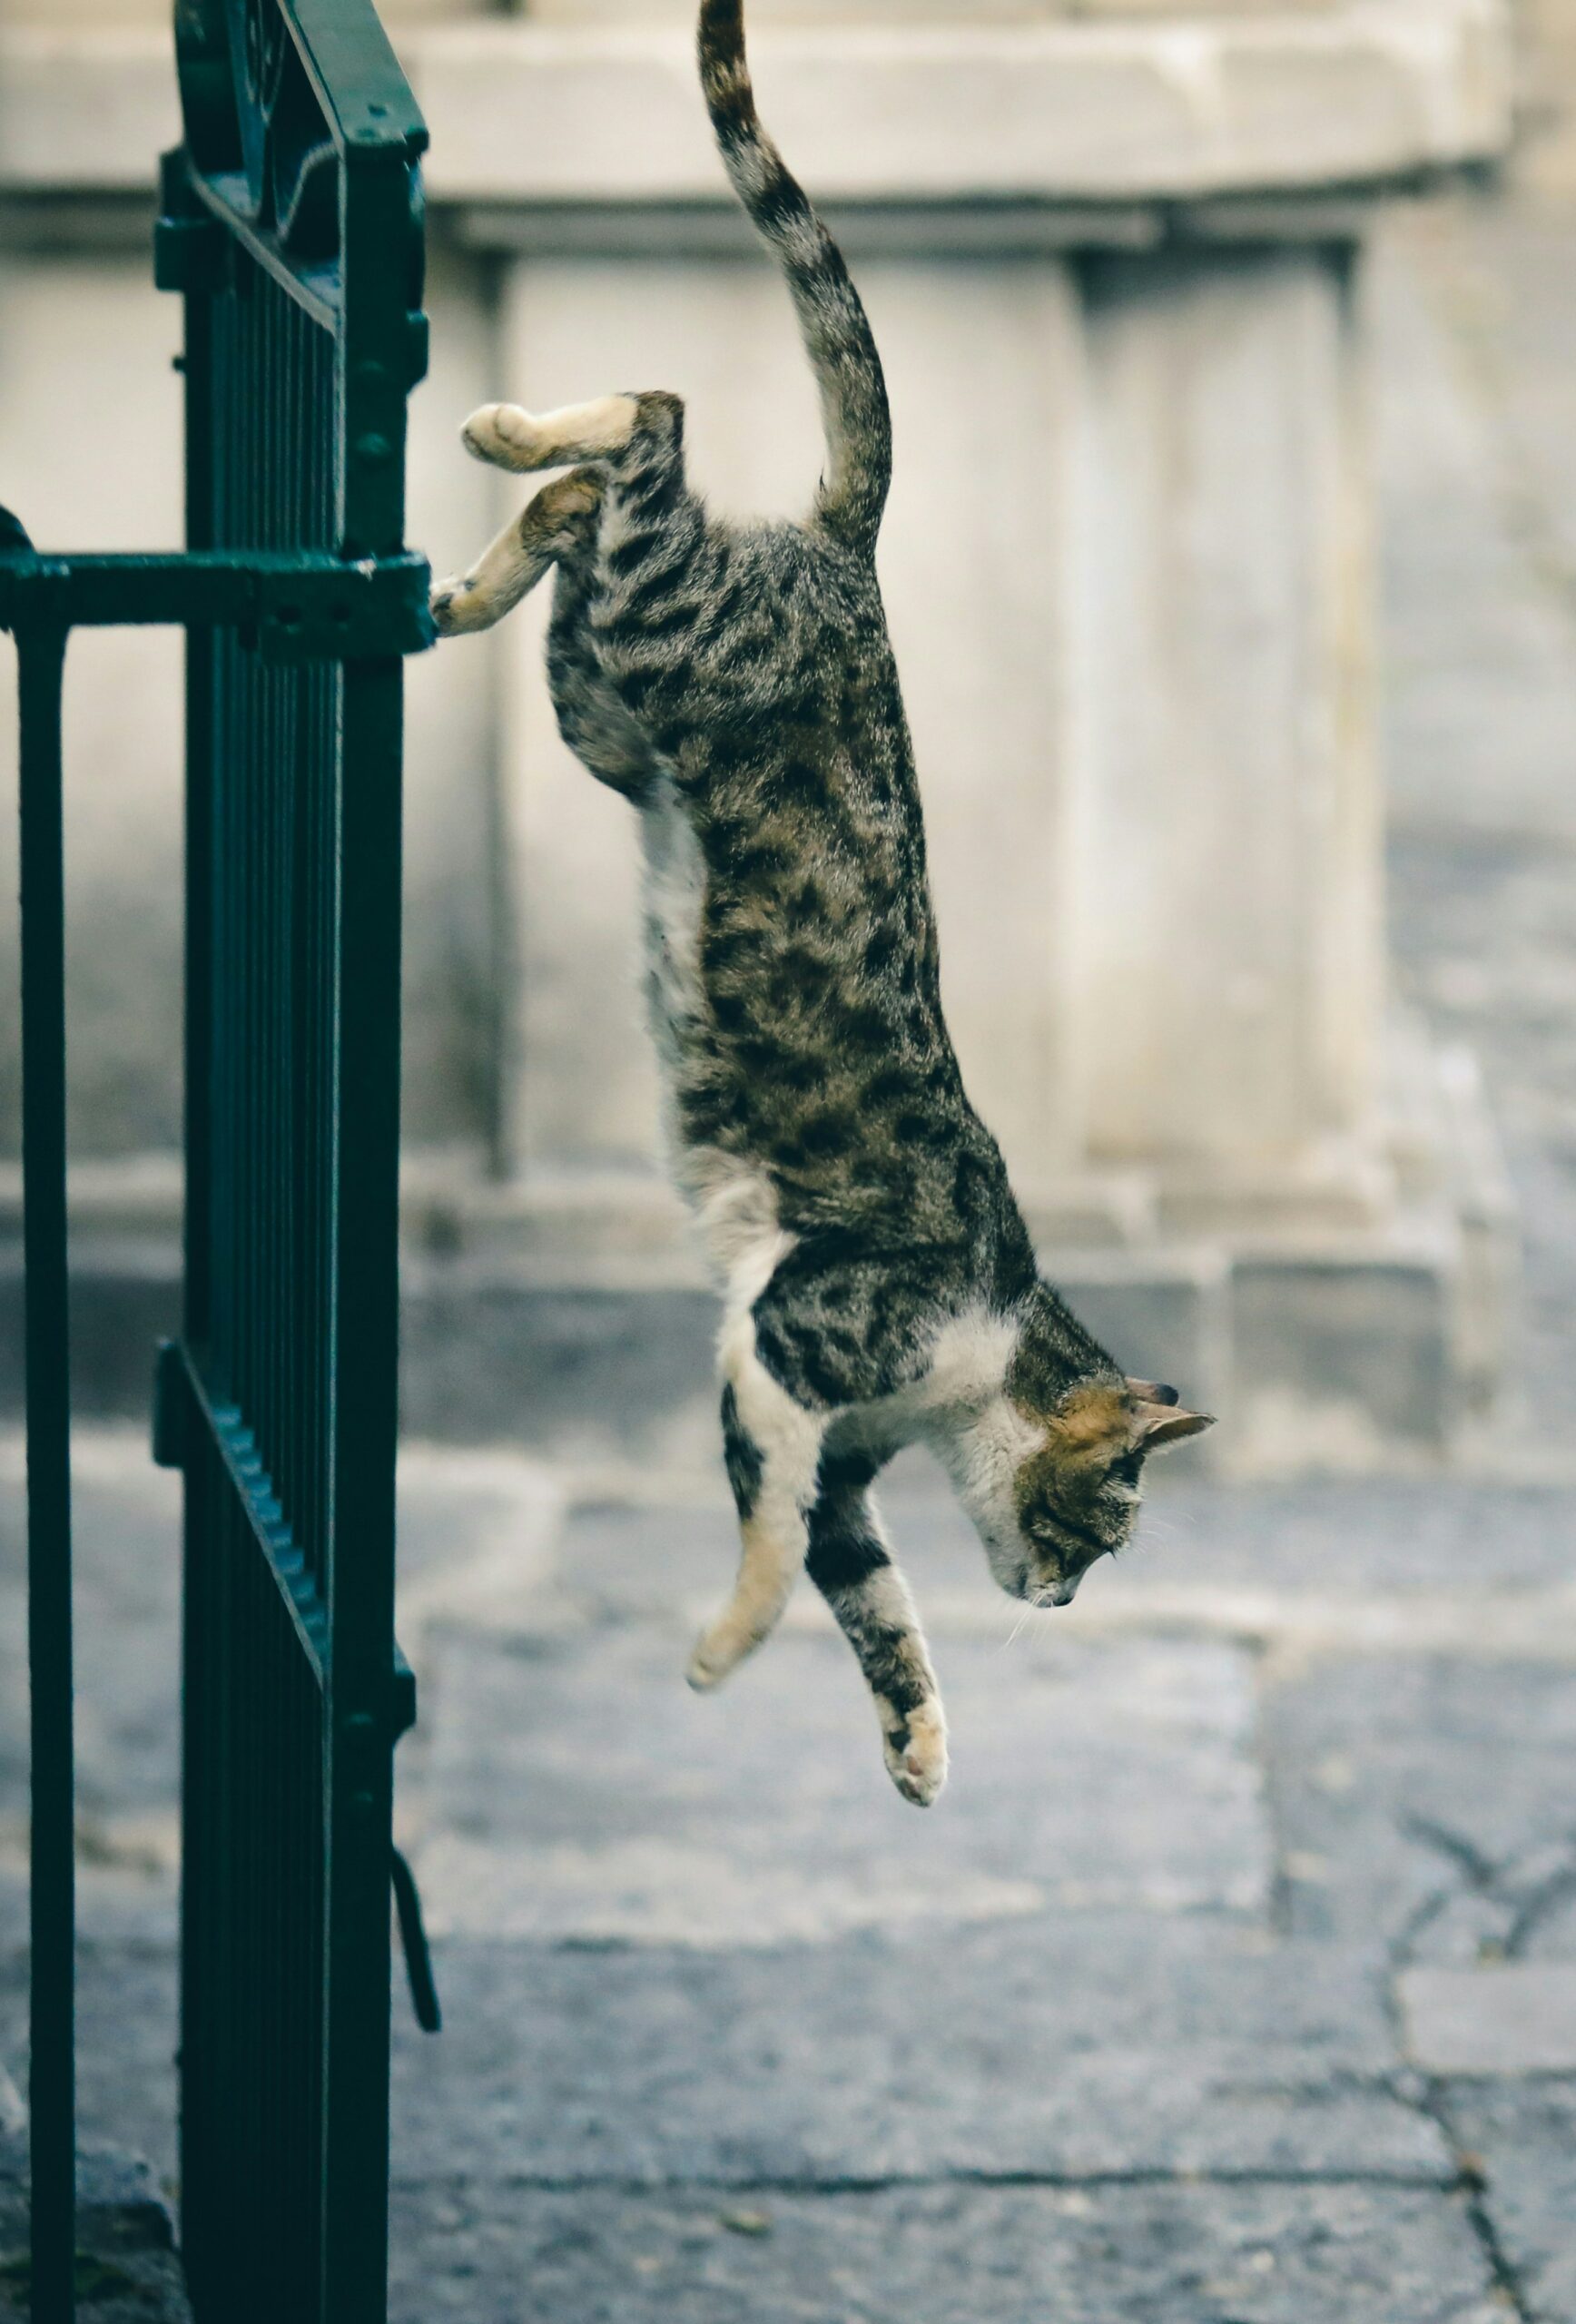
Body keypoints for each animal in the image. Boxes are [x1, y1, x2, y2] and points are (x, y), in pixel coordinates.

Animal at [425, 0, 1217, 1803]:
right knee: (652, 418)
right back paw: (509, 426)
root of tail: (847, 559)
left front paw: (919, 1743)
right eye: (1107, 1523)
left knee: (591, 513)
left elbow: (870, 1599)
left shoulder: (843, 1444)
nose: (1066, 1599)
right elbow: (773, 1544)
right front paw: (723, 1652)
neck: (954, 1375)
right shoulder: (785, 1346)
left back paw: (465, 569)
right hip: (659, 641)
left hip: (605, 704)